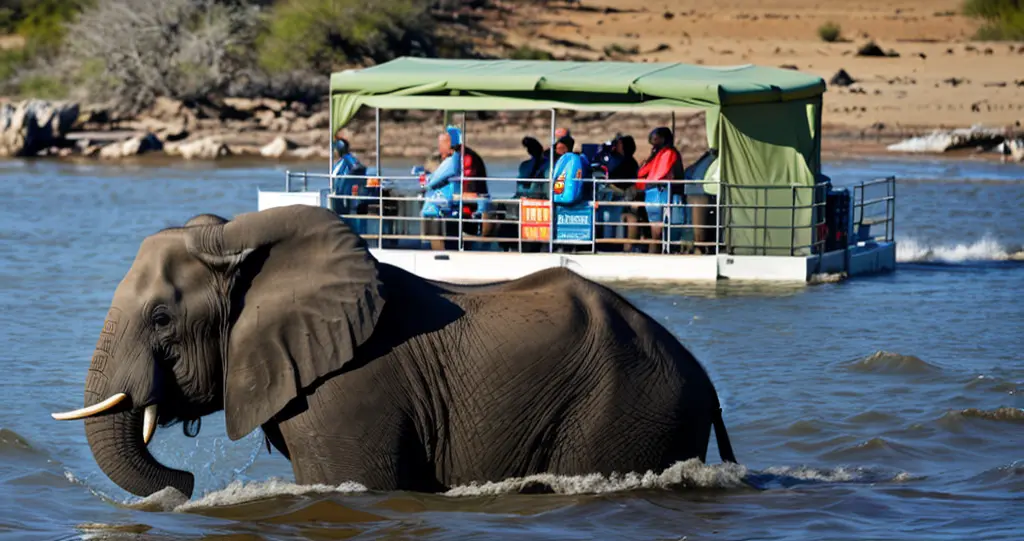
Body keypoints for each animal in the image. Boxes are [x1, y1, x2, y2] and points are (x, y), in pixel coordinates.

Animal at [51, 203, 737, 497]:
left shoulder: (348, 391)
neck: (241, 241)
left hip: (626, 408)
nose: (187, 485)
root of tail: (707, 381)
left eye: (162, 318)